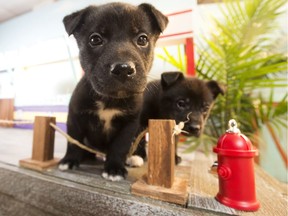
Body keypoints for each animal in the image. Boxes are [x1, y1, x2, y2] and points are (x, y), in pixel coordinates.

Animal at [59, 2, 169, 181]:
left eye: (142, 39)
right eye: (95, 39)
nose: (123, 68)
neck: (110, 99)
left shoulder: (129, 124)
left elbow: (119, 146)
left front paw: (114, 168)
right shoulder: (75, 116)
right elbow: (74, 140)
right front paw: (69, 160)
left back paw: (134, 158)